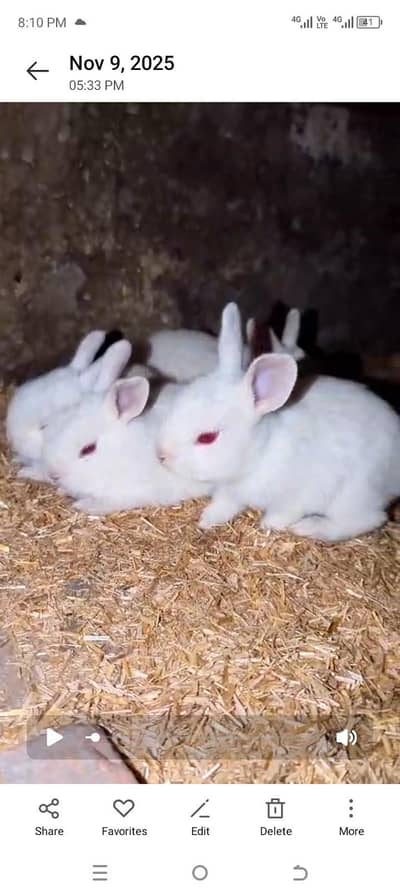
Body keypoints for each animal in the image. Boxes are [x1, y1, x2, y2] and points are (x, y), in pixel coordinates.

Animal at [156, 302, 400, 542]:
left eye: (207, 438)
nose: (162, 457)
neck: (261, 451)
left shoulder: (295, 497)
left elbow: (282, 514)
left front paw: (267, 527)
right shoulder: (231, 492)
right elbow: (224, 505)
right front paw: (206, 520)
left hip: (354, 494)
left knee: (369, 519)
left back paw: (310, 528)